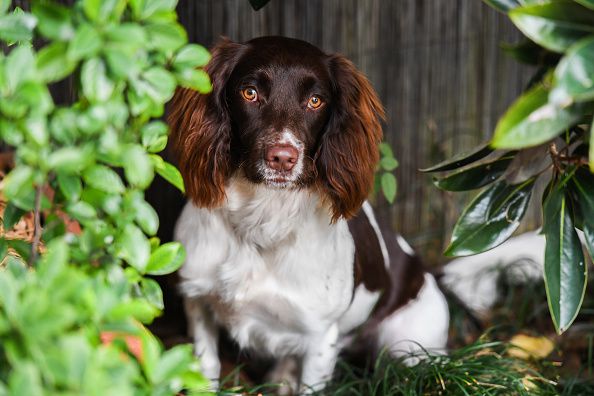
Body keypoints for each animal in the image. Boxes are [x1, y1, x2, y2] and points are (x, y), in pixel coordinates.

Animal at [164, 36, 446, 392]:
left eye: (315, 101)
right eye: (249, 92)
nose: (282, 158)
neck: (261, 221)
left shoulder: (321, 337)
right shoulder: (197, 299)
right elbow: (207, 365)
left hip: (411, 346)